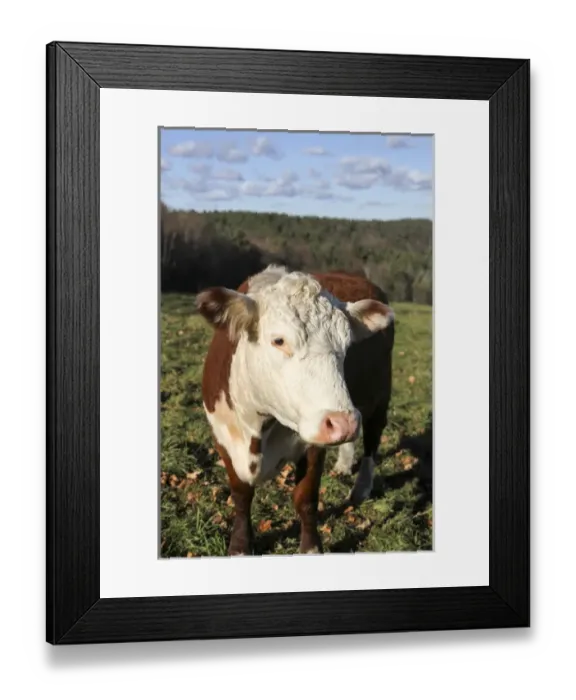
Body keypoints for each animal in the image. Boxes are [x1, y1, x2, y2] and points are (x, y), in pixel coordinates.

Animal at [196, 264, 395, 556]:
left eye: (347, 346)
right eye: (279, 340)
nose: (343, 423)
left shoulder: (312, 443)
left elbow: (306, 497)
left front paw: (311, 547)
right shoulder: (222, 435)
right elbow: (241, 494)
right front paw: (240, 544)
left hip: (379, 397)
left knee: (372, 440)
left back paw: (360, 488)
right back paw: (344, 463)